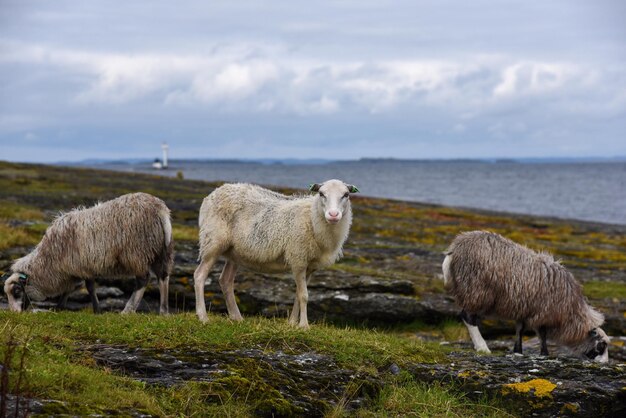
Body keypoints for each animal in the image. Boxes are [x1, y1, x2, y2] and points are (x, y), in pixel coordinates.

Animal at [3, 193, 173, 314]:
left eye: (17, 291)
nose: (15, 313)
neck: (48, 261)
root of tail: (160, 210)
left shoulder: (81, 266)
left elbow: (88, 287)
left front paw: (96, 310)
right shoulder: (75, 269)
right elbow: (71, 288)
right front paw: (59, 306)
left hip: (136, 252)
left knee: (143, 280)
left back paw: (128, 310)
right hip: (161, 250)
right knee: (163, 277)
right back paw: (163, 311)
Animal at [193, 179, 358, 326]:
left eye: (346, 194)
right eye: (321, 193)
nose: (333, 215)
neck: (311, 218)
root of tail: (214, 192)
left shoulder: (310, 266)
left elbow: (298, 295)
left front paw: (292, 323)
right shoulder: (298, 258)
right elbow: (304, 295)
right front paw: (304, 325)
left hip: (234, 252)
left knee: (225, 280)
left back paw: (237, 317)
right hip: (212, 241)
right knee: (200, 276)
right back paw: (203, 317)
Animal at [442, 230, 608, 364]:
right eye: (601, 345)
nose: (605, 363)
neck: (572, 314)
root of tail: (454, 250)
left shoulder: (524, 309)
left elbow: (519, 330)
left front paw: (518, 351)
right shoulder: (544, 312)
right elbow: (542, 334)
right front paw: (544, 354)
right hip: (476, 289)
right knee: (468, 317)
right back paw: (483, 347)